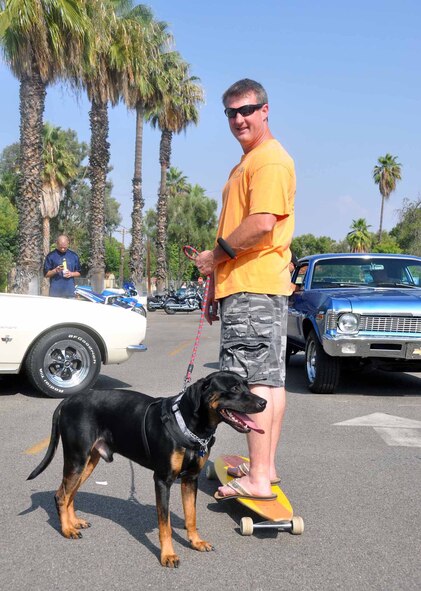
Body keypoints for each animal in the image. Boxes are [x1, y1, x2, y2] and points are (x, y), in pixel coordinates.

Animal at [27, 370, 266, 568]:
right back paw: (67, 529)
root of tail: (67, 401)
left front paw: (196, 542)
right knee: (61, 495)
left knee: (69, 493)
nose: (264, 402)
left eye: (247, 385)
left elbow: (191, 516)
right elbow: (165, 525)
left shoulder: (190, 479)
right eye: (233, 388)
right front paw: (168, 555)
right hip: (77, 459)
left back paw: (74, 522)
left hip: (88, 462)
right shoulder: (162, 480)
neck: (189, 426)